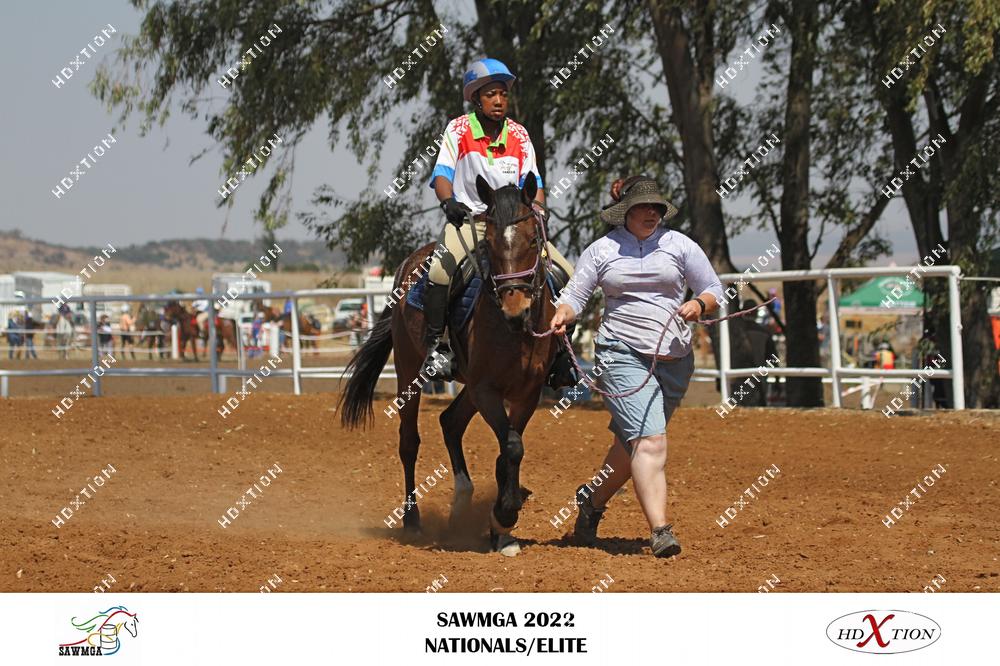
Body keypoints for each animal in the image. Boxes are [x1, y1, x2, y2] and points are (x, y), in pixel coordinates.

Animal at [340, 175, 560, 556]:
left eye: (533, 239)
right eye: (489, 243)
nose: (515, 309)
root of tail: (408, 264)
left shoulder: (526, 393)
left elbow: (510, 450)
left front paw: (501, 528)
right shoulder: (486, 389)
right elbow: (511, 447)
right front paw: (505, 514)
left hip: (467, 386)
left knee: (450, 422)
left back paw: (462, 503)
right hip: (410, 370)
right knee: (409, 442)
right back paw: (412, 521)